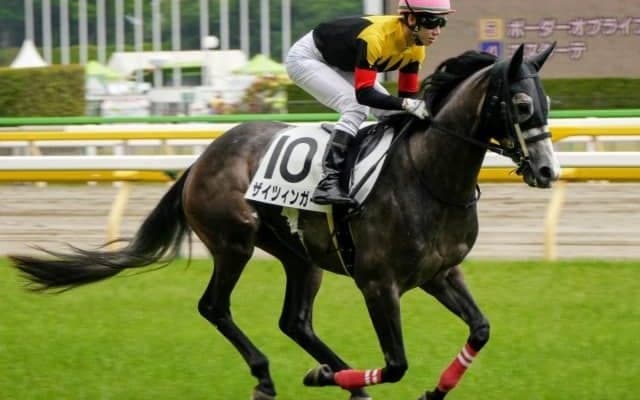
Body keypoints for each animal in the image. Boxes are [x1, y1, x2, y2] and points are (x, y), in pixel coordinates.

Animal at [10, 43, 559, 400]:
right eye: (522, 104)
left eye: (547, 102)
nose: (548, 171)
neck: (427, 174)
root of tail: (203, 157)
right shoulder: (378, 283)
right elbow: (396, 363)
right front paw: (328, 378)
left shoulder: (441, 272)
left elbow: (480, 330)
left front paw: (434, 391)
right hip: (234, 242)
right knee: (214, 306)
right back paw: (271, 377)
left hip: (301, 257)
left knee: (294, 320)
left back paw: (341, 380)